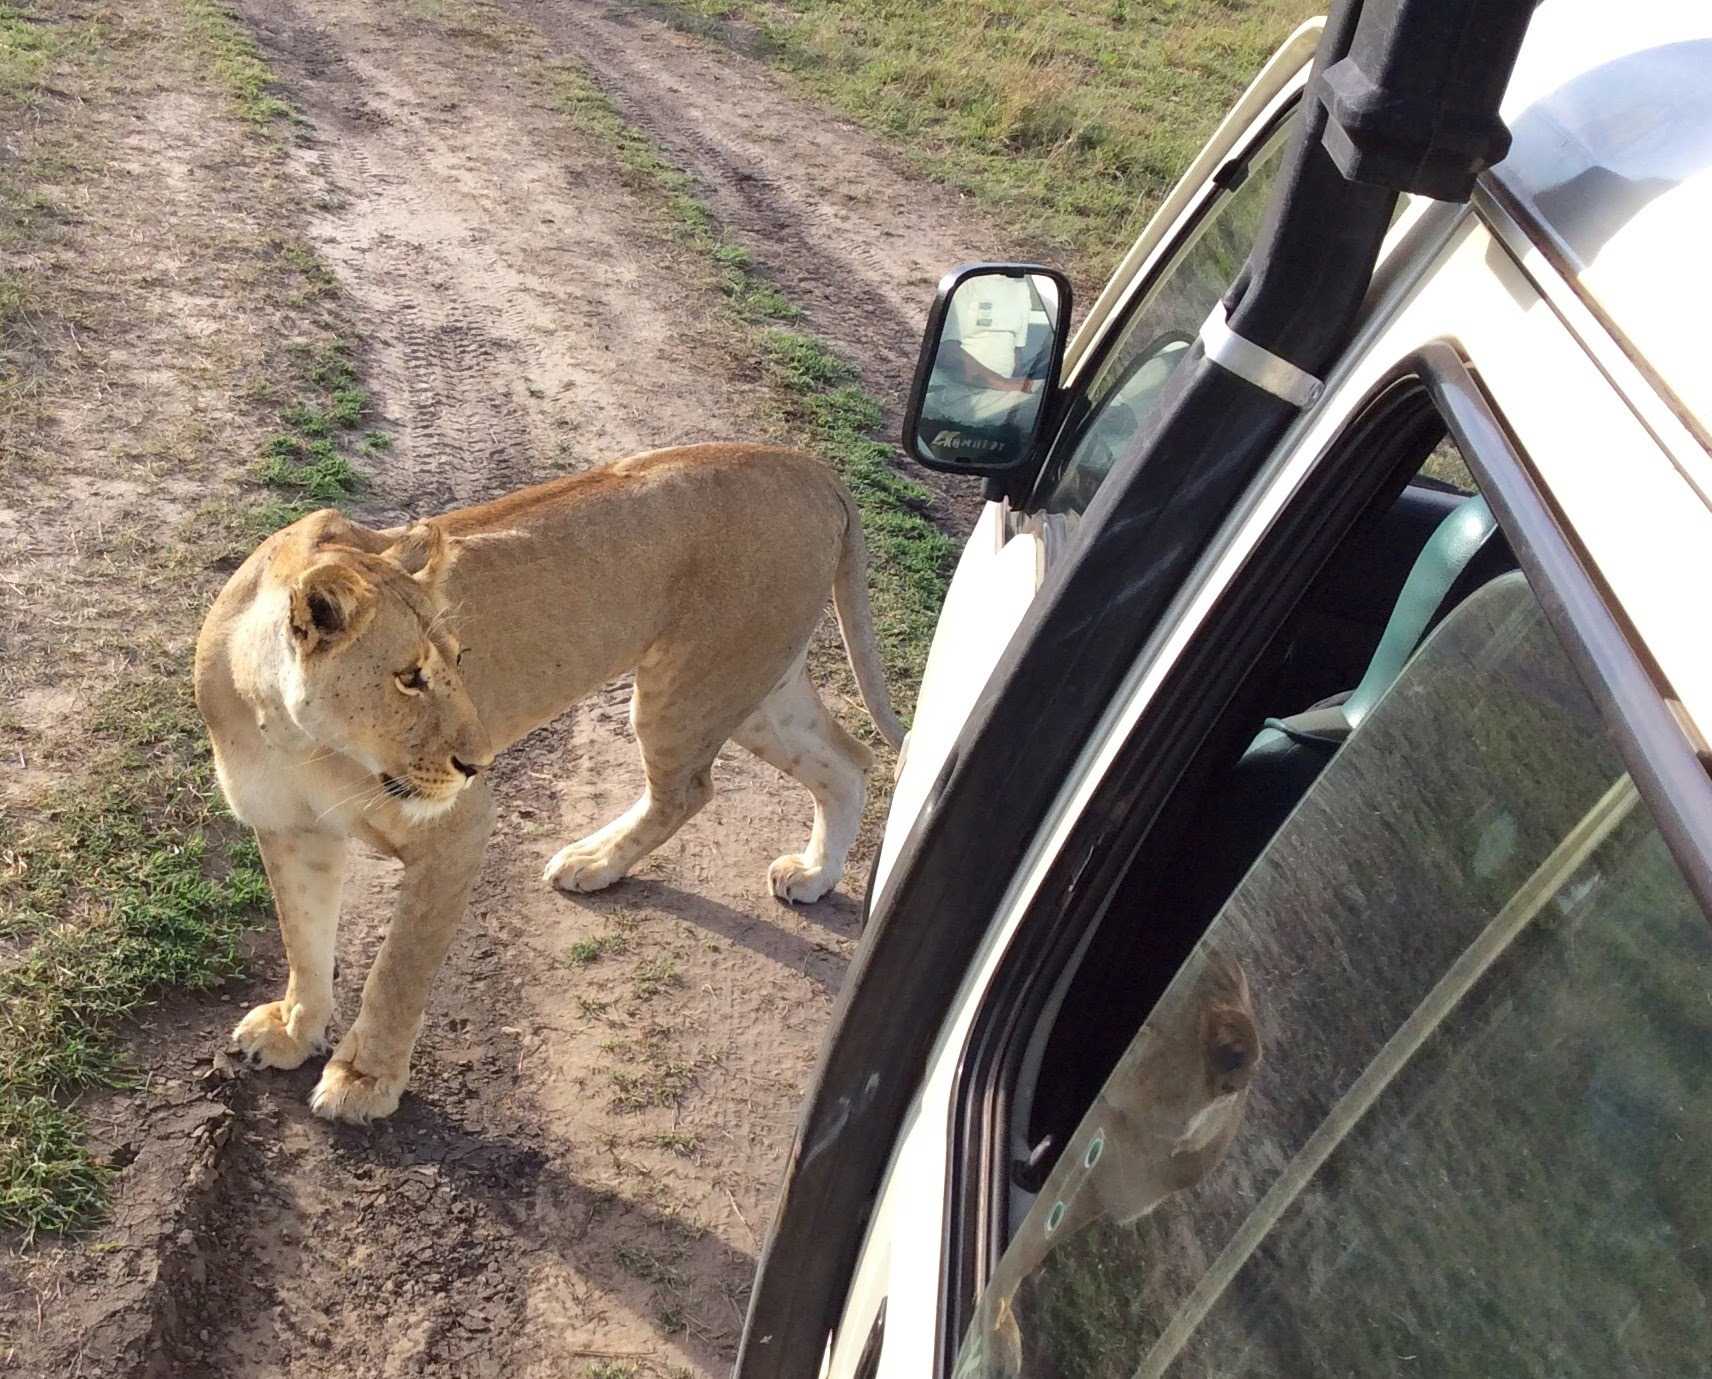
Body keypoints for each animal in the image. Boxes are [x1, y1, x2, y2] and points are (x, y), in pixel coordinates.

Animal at [193, 443, 904, 1123]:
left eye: (459, 660)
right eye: (408, 678)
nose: (478, 764)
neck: (296, 737)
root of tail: (809, 466)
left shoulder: (456, 832)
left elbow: (397, 971)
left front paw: (363, 1082)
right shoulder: (290, 830)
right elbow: (304, 942)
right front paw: (294, 1030)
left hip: (697, 686)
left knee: (690, 790)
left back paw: (594, 861)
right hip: (759, 690)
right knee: (847, 760)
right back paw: (813, 874)